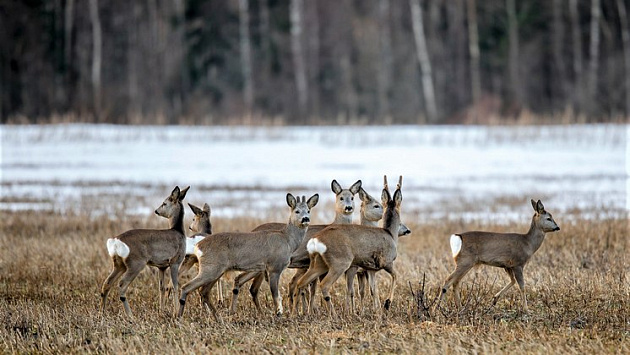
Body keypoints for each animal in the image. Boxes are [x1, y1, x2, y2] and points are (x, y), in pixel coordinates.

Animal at [100, 186, 190, 318]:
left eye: (164, 203)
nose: (156, 211)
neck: (179, 231)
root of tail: (115, 241)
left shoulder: (161, 266)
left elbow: (162, 288)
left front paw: (162, 311)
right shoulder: (175, 261)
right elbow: (174, 286)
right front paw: (176, 314)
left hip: (119, 264)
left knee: (107, 283)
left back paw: (101, 312)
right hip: (136, 263)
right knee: (121, 284)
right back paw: (130, 316)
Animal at [177, 193, 320, 322]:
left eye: (308, 210)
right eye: (297, 211)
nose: (306, 219)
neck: (287, 240)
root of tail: (198, 246)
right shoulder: (274, 266)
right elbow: (275, 294)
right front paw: (279, 313)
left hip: (215, 270)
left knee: (204, 292)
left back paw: (219, 318)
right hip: (211, 268)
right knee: (187, 287)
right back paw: (179, 318)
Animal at [296, 177, 404, 316]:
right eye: (376, 205)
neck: (390, 233)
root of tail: (315, 240)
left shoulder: (370, 269)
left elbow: (373, 289)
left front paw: (376, 310)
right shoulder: (387, 261)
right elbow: (395, 276)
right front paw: (387, 303)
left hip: (318, 263)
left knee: (300, 283)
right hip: (340, 263)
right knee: (324, 285)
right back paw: (334, 315)